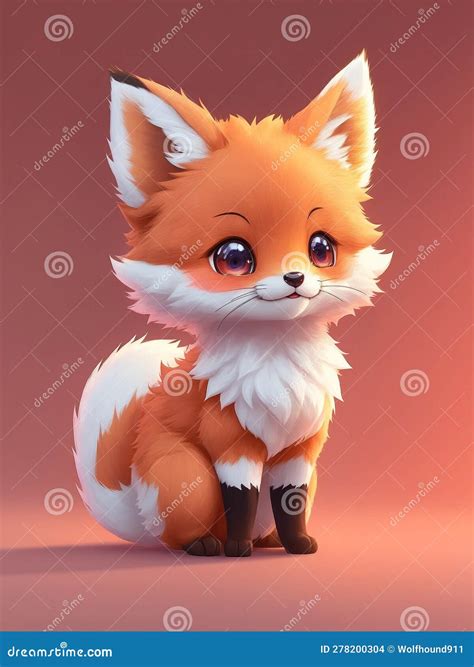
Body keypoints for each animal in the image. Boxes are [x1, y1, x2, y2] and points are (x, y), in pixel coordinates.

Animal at [74, 52, 391, 557]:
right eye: (234, 258)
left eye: (321, 249)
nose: (296, 278)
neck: (277, 369)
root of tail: (140, 515)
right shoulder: (232, 444)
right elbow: (240, 500)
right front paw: (237, 549)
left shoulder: (301, 451)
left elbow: (291, 502)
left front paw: (297, 543)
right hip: (186, 476)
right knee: (179, 532)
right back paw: (206, 544)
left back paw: (268, 541)